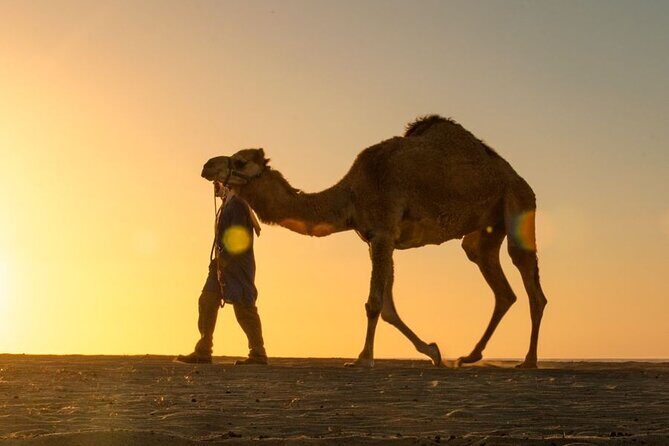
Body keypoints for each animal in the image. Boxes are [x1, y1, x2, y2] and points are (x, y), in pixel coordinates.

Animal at [201, 115, 548, 368]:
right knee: (495, 279)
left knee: (530, 282)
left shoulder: (382, 232)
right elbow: (389, 307)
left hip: (518, 202)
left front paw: (363, 358)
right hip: (487, 230)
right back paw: (470, 356)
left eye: (240, 161)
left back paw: (529, 361)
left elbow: (374, 303)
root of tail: (518, 178)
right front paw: (433, 351)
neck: (351, 194)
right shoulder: (378, 239)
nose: (207, 165)